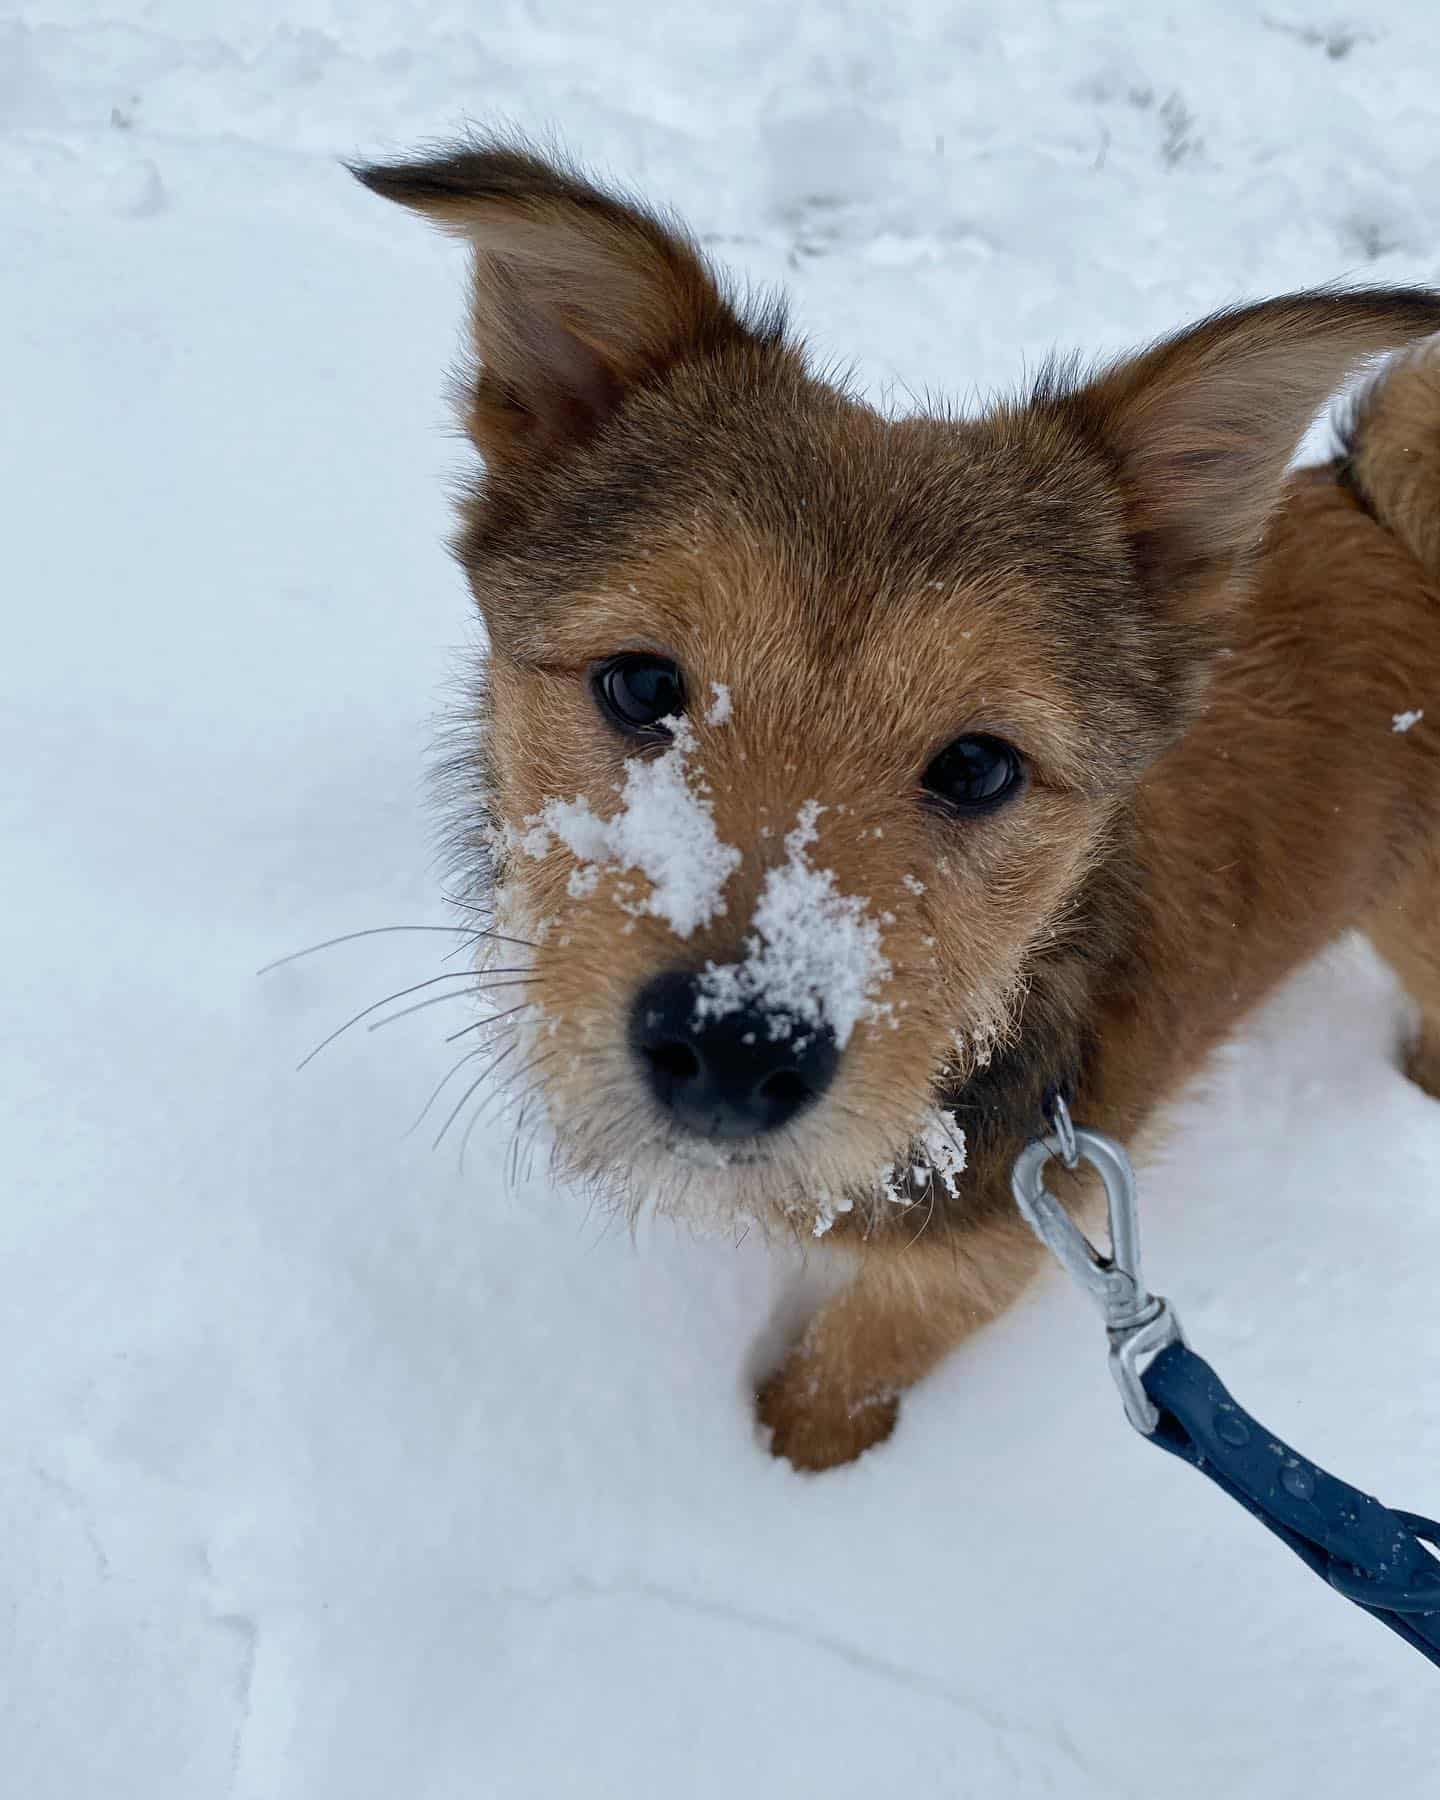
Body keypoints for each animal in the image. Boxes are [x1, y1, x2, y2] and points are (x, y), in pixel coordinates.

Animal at [351, 140, 1440, 1461]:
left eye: (979, 767)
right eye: (642, 684)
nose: (734, 1050)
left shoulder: (1002, 1243)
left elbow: (868, 1350)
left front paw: (801, 1458)